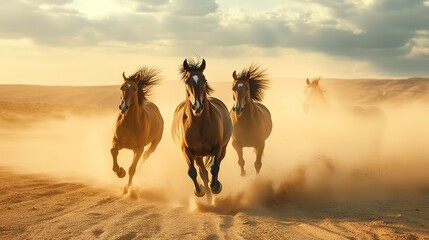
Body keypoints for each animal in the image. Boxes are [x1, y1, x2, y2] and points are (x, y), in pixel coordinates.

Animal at [171, 58, 232, 199]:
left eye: (204, 79)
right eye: (187, 80)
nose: (197, 107)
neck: (200, 125)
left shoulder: (217, 148)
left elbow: (215, 167)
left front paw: (216, 187)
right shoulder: (186, 151)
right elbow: (192, 172)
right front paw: (199, 191)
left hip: (223, 148)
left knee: (216, 165)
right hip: (198, 156)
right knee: (202, 172)